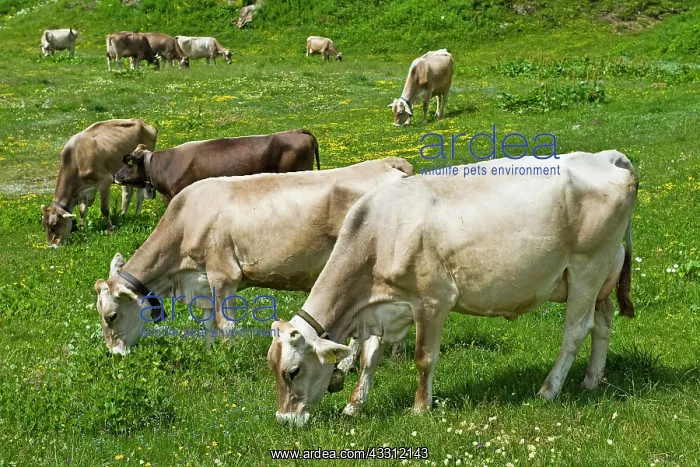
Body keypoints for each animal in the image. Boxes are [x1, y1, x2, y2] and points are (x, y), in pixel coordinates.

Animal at [41, 119, 157, 248]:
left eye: (54, 225)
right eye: (44, 226)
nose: (51, 246)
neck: (75, 160)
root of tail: (143, 123)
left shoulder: (104, 180)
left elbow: (104, 209)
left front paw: (111, 229)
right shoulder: (85, 190)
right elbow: (82, 210)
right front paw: (83, 228)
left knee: (139, 194)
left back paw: (137, 215)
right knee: (127, 192)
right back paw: (123, 214)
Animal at [94, 158, 414, 355]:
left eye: (111, 316)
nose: (114, 354)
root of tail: (387, 162)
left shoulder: (224, 276)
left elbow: (225, 325)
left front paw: (227, 357)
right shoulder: (204, 281)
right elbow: (207, 323)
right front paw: (208, 352)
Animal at [268, 150, 639, 425]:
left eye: (293, 371)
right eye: (272, 367)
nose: (284, 420)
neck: (380, 232)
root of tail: (606, 157)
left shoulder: (433, 300)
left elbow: (424, 358)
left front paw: (420, 407)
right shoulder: (383, 306)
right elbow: (369, 357)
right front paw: (354, 405)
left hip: (587, 267)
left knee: (576, 330)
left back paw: (549, 390)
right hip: (601, 274)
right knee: (603, 320)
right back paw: (592, 379)